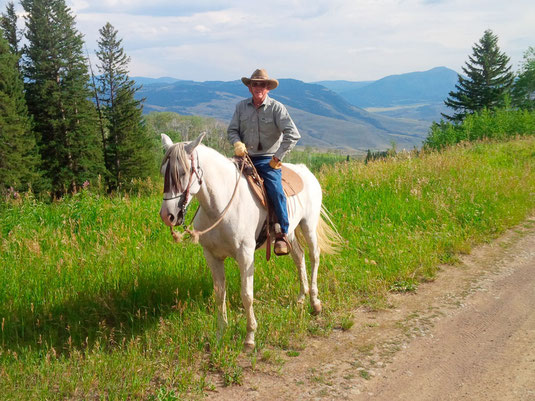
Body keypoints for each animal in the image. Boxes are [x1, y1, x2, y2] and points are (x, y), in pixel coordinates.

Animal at [160, 133, 344, 348]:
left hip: (308, 225)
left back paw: (315, 303)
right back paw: (300, 298)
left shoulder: (245, 255)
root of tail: (305, 171)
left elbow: (247, 295)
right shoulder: (212, 256)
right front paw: (220, 334)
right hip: (288, 232)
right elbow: (219, 294)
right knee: (299, 257)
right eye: (163, 172)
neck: (219, 208)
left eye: (182, 172)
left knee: (314, 257)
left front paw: (250, 337)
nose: (168, 216)